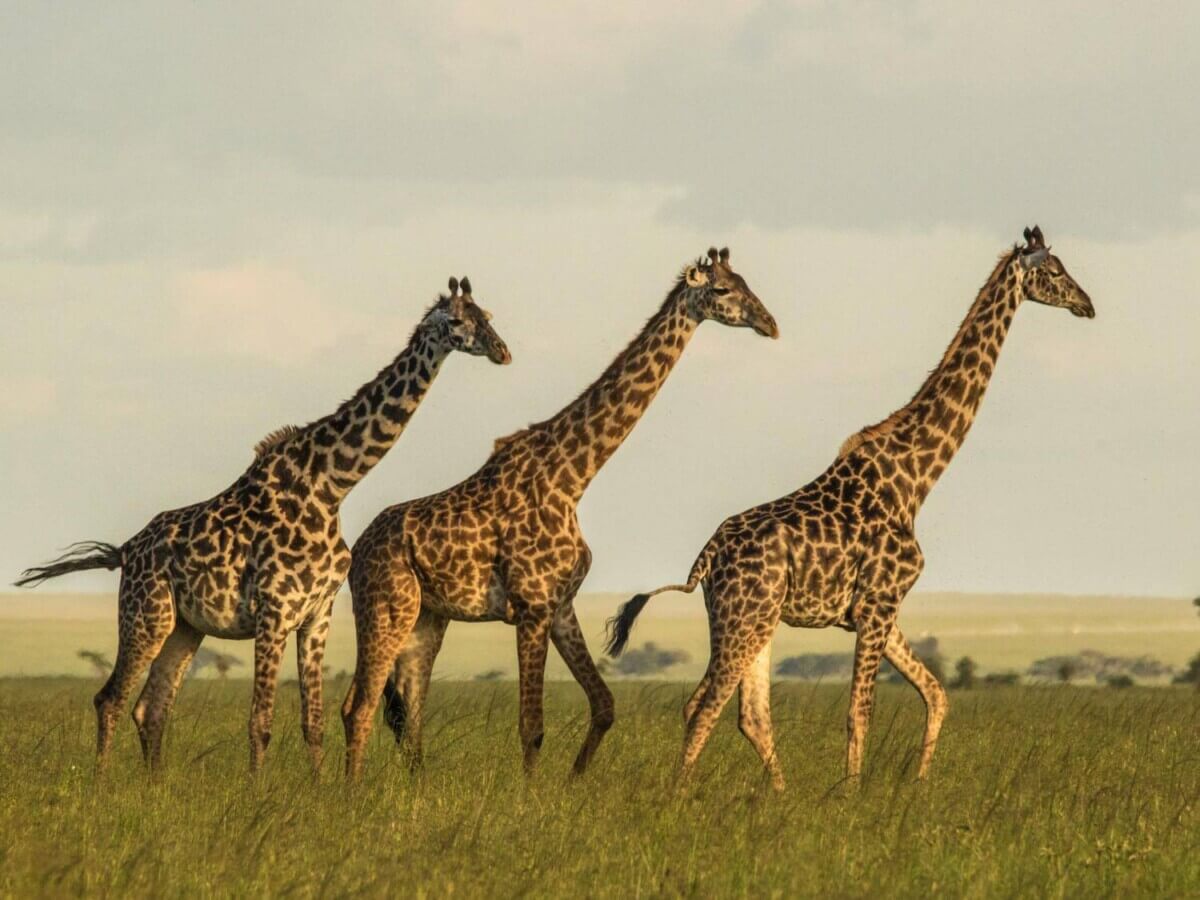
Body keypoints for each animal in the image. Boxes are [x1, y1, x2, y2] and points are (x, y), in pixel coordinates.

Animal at [15, 277, 510, 773]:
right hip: (145, 615)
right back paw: (101, 782)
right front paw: (258, 787)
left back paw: (153, 784)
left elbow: (314, 723)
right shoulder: (274, 610)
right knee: (110, 700)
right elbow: (261, 722)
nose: (502, 351)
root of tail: (124, 551)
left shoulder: (316, 614)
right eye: (457, 321)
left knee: (151, 708)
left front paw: (318, 788)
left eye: (487, 315)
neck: (331, 486)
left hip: (184, 627)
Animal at [341, 248, 779, 779]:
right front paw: (530, 796)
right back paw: (351, 790)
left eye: (746, 282)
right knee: (360, 706)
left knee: (408, 709)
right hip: (385, 608)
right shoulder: (531, 607)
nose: (770, 323)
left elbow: (604, 705)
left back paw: (415, 788)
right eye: (721, 290)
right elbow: (532, 726)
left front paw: (572, 783)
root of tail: (357, 552)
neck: (572, 478)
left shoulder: (561, 605)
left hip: (427, 618)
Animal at [607, 227, 1095, 790]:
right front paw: (851, 794)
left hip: (753, 619)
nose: (1087, 305)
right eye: (1054, 271)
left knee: (746, 712)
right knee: (706, 705)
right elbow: (860, 712)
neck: (915, 480)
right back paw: (680, 794)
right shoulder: (877, 603)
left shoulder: (880, 607)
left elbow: (937, 695)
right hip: (744, 616)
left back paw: (779, 794)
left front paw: (917, 783)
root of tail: (705, 558)